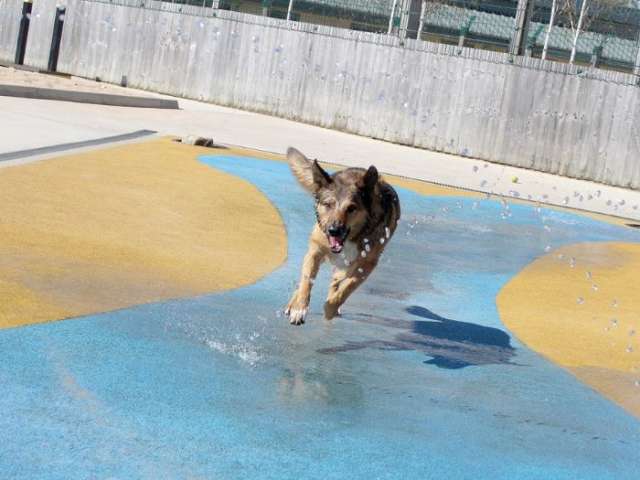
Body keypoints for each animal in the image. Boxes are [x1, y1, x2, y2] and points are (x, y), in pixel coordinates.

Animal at [284, 147, 400, 326]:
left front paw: (330, 308)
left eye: (351, 208)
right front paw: (299, 308)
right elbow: (306, 280)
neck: (351, 239)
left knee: (337, 281)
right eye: (328, 204)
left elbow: (346, 289)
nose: (333, 231)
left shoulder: (366, 265)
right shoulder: (315, 250)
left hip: (348, 266)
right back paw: (293, 302)